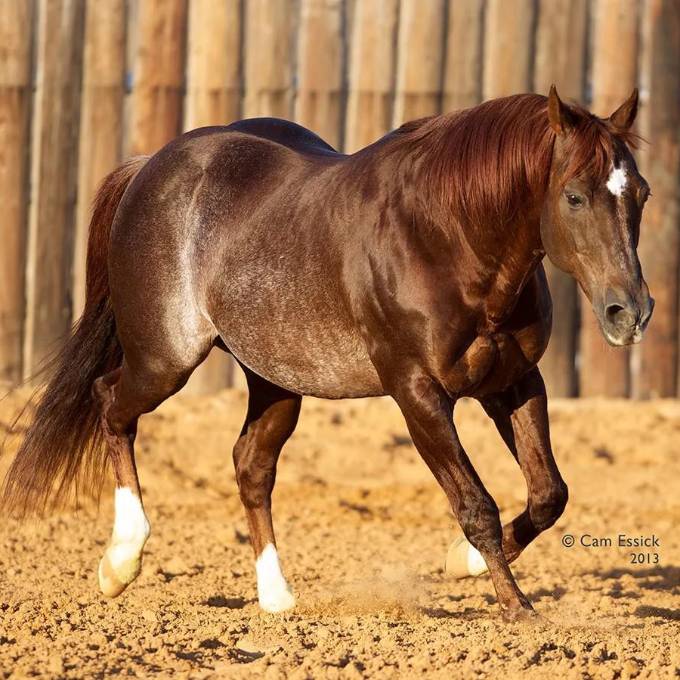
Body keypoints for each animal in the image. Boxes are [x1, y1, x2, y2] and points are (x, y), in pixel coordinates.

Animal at [1, 86, 652, 622]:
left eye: (640, 194)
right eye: (574, 196)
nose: (631, 312)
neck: (448, 238)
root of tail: (150, 166)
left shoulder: (514, 381)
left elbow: (549, 495)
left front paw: (459, 563)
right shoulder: (418, 394)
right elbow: (476, 505)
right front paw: (517, 609)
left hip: (274, 377)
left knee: (250, 465)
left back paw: (276, 598)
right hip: (166, 359)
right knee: (110, 402)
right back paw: (120, 563)